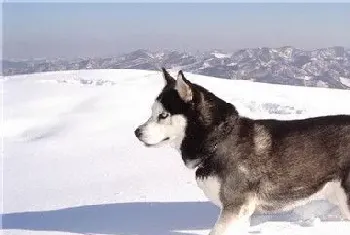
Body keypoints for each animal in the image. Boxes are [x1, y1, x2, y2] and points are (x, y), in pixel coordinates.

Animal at [134, 68, 350, 235]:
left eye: (163, 115)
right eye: (152, 113)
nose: (137, 132)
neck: (218, 142)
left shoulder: (236, 207)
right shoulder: (242, 214)